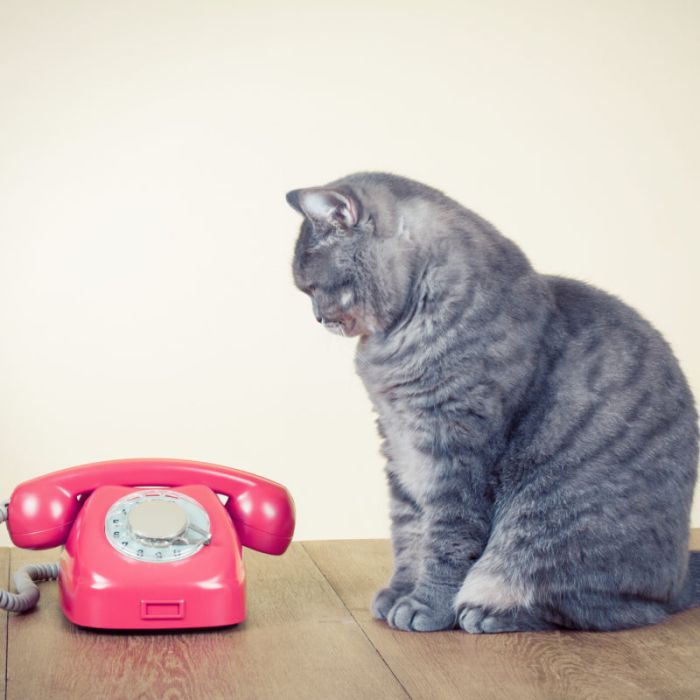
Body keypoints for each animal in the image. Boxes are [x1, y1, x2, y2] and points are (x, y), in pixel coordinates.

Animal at [286, 172, 700, 632]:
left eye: (314, 287)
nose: (318, 317)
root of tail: (679, 580)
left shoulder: (457, 450)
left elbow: (447, 539)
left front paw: (425, 606)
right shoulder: (399, 446)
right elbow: (408, 528)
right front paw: (399, 592)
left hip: (548, 532)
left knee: (600, 607)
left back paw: (488, 612)